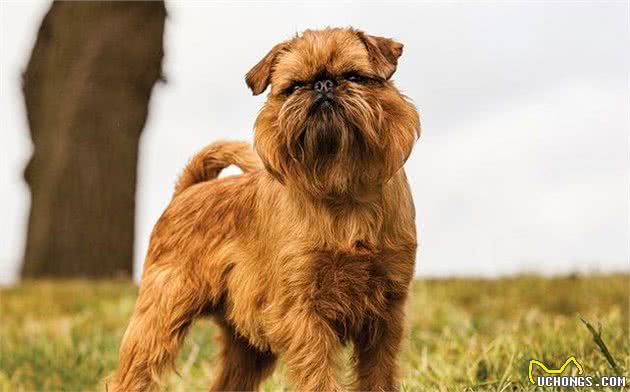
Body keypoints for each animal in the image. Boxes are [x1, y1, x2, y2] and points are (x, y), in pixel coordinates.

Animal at [111, 28, 422, 392]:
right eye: (295, 86)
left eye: (354, 76)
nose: (323, 84)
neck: (344, 190)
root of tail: (189, 189)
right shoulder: (303, 312)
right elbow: (318, 376)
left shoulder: (387, 314)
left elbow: (378, 375)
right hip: (161, 313)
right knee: (134, 371)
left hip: (246, 344)